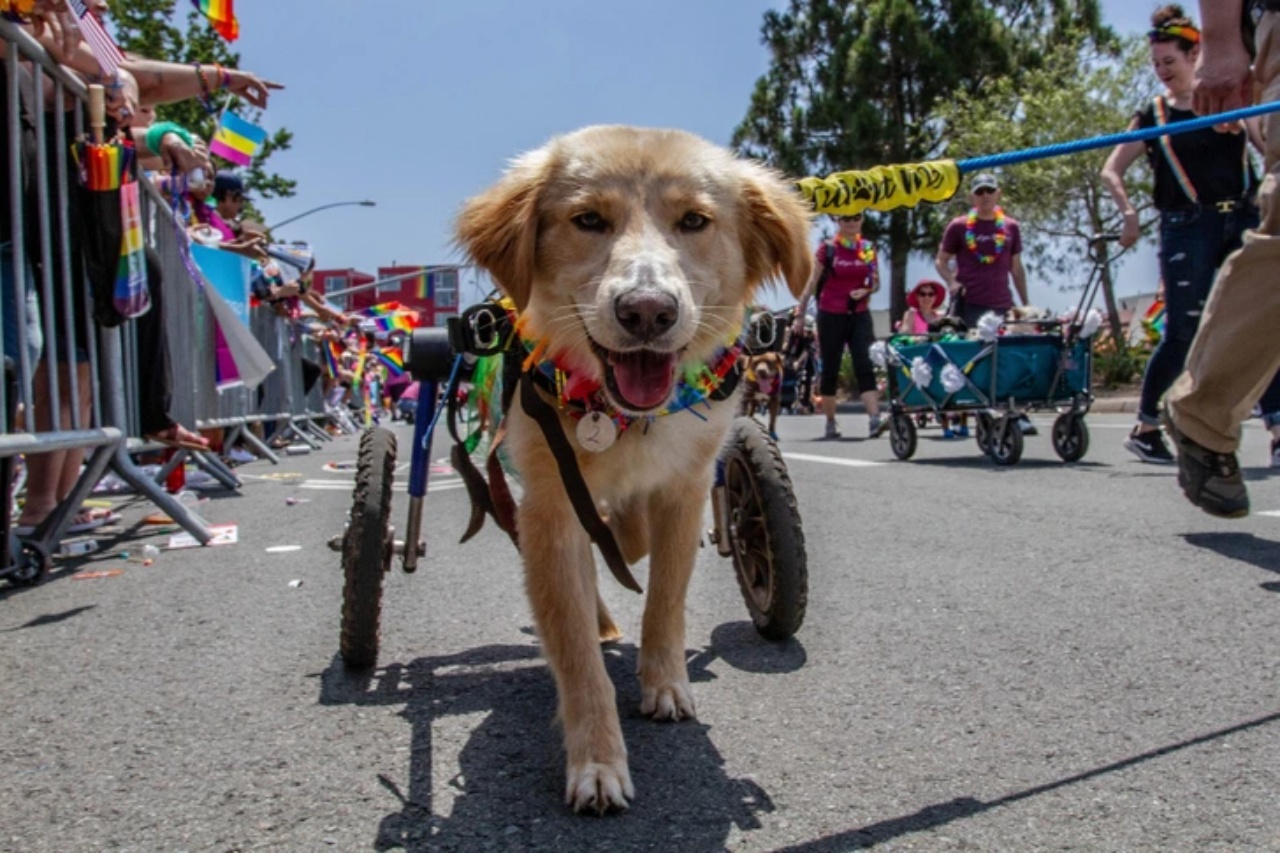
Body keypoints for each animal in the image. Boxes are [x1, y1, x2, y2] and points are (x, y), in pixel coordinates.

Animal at [453, 126, 808, 809]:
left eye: (694, 221)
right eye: (588, 220)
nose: (647, 311)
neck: (620, 417)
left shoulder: (686, 487)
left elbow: (664, 590)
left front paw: (665, 684)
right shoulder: (550, 505)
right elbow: (573, 644)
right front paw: (597, 761)